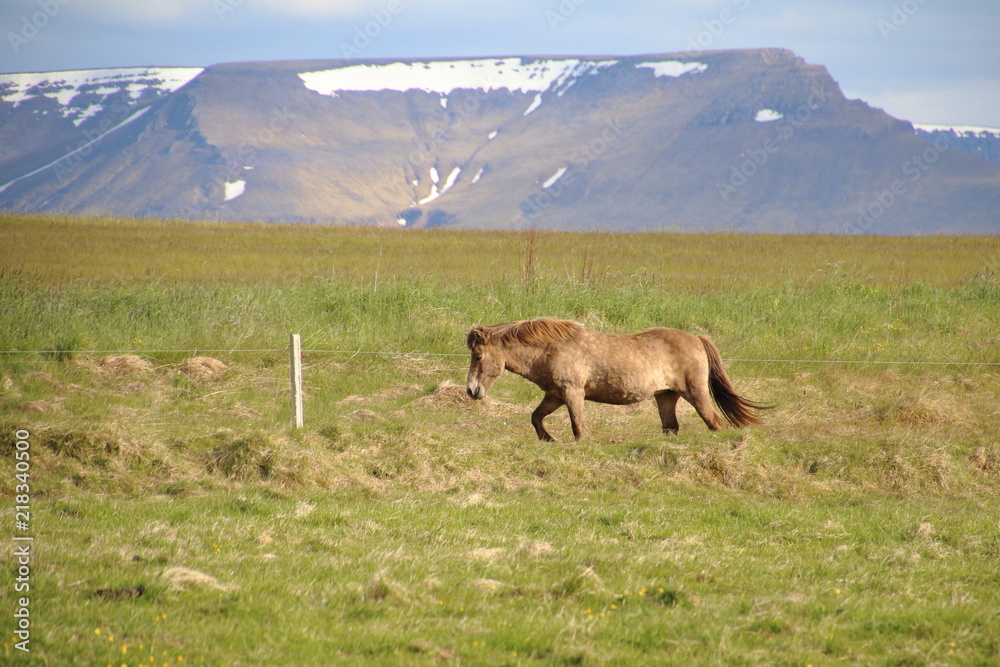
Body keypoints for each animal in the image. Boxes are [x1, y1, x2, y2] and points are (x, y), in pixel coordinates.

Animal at [465, 318, 771, 441]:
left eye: (478, 356)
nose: (470, 390)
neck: (551, 348)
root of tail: (696, 338)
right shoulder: (555, 395)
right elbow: (536, 417)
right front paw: (548, 439)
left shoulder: (572, 393)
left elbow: (578, 426)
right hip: (665, 396)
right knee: (671, 428)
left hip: (695, 394)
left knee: (715, 422)